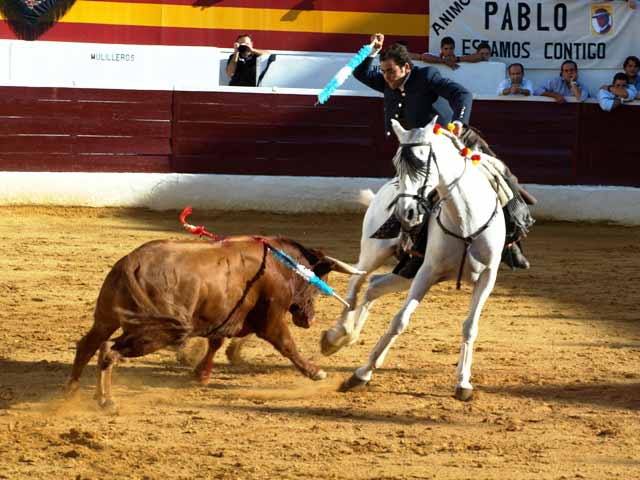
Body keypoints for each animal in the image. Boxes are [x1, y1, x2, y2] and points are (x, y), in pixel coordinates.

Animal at [67, 236, 358, 408]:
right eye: (319, 284)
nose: (309, 319)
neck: (280, 264)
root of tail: (131, 263)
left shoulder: (226, 315)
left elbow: (216, 342)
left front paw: (202, 374)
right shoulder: (271, 318)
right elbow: (287, 345)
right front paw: (316, 372)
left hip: (105, 319)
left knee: (87, 347)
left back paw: (72, 393)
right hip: (155, 331)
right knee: (108, 350)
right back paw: (106, 400)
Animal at [338, 117, 508, 402]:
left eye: (422, 160)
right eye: (396, 161)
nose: (404, 213)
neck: (466, 220)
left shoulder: (488, 276)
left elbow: (470, 326)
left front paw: (463, 382)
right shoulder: (427, 272)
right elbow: (399, 320)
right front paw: (361, 374)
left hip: (406, 272)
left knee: (373, 285)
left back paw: (353, 338)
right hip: (376, 252)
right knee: (356, 281)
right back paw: (337, 335)